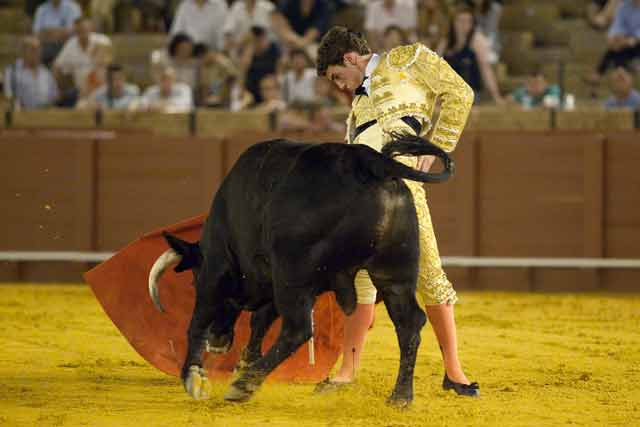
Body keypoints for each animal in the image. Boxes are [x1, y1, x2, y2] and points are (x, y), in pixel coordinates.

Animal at [149, 135, 456, 406]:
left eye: (193, 279)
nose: (218, 341)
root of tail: (371, 162)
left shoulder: (217, 267)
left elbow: (199, 319)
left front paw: (194, 377)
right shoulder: (271, 279)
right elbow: (260, 320)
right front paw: (244, 362)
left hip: (292, 273)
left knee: (297, 329)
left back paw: (243, 387)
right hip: (393, 272)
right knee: (409, 323)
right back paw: (401, 397)